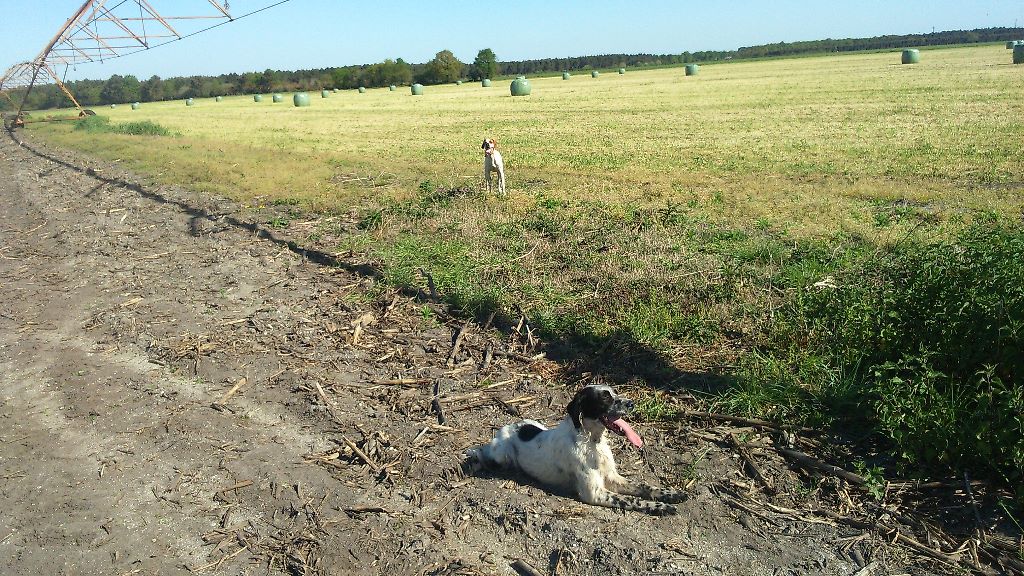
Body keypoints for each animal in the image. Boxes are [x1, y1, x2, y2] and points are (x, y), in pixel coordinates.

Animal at [464, 383, 688, 512]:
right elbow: (630, 500)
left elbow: (644, 486)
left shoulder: (612, 478)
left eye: (615, 393)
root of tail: (506, 428)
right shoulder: (594, 492)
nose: (631, 403)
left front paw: (671, 494)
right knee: (486, 455)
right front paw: (660, 506)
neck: (592, 442)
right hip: (502, 454)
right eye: (605, 397)